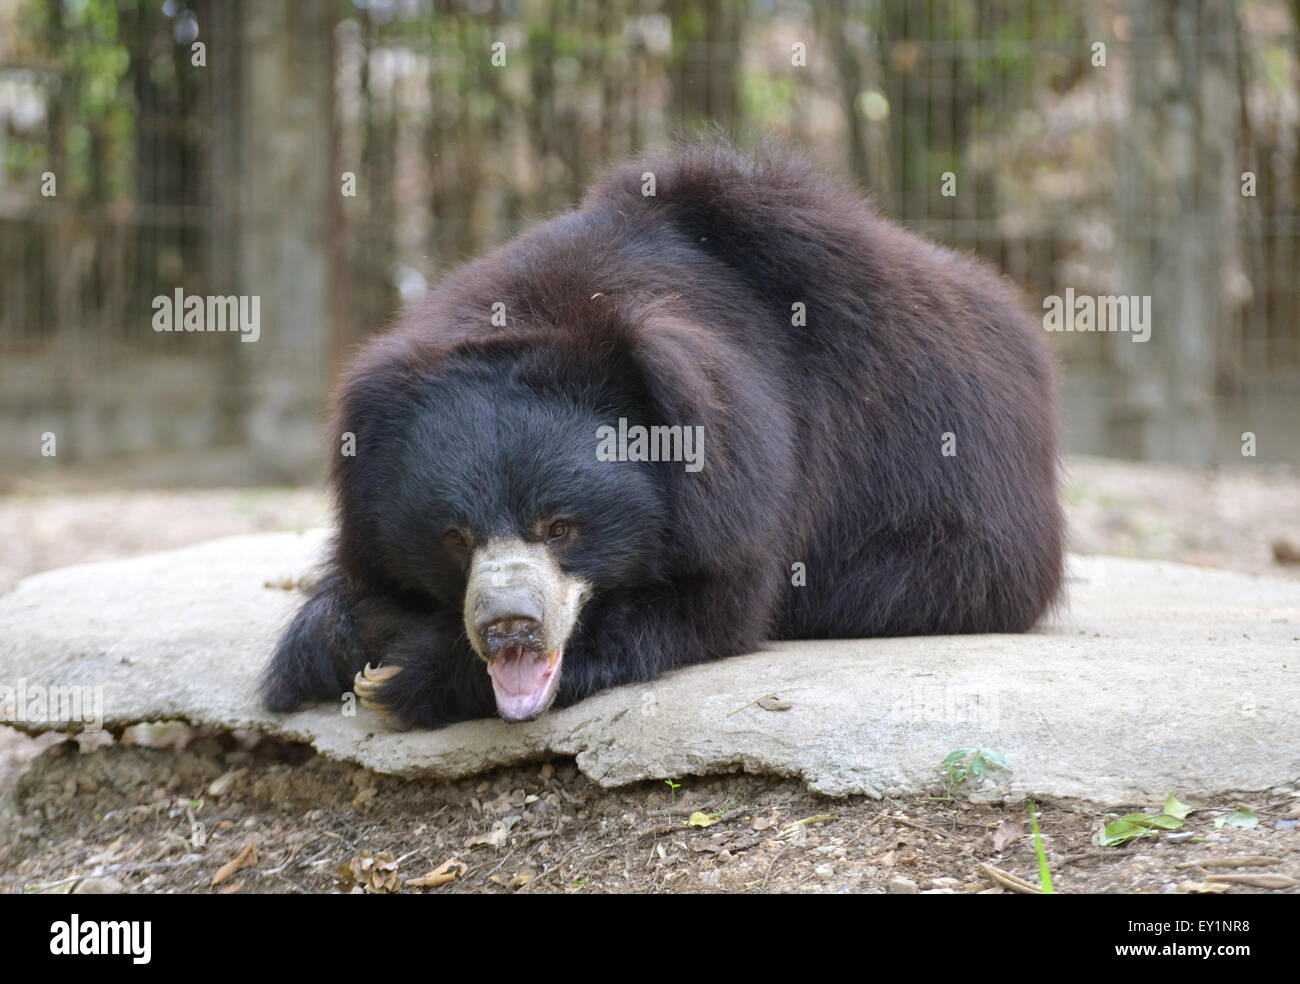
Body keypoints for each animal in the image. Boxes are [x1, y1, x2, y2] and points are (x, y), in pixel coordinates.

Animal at [258, 142, 1060, 727]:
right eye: (455, 538)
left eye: (561, 527)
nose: (510, 629)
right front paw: (335, 638)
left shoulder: (757, 474)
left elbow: (709, 605)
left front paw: (409, 673)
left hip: (959, 512)